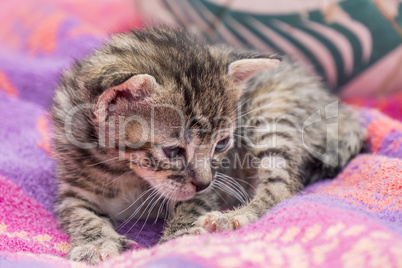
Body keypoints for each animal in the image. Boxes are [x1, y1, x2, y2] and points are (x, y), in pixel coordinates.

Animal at [51, 27, 364, 264]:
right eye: (173, 151)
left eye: (222, 144)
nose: (203, 182)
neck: (125, 171)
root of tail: (340, 109)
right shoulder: (74, 189)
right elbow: (82, 215)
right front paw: (95, 244)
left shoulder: (215, 182)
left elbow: (192, 206)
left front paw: (177, 241)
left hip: (272, 112)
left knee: (281, 188)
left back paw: (234, 218)